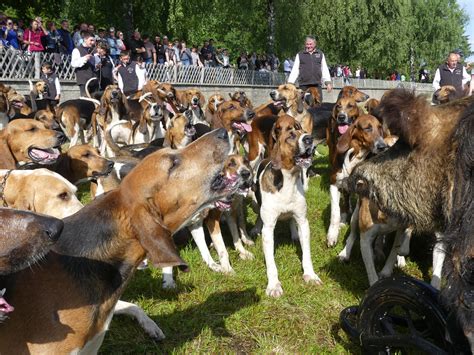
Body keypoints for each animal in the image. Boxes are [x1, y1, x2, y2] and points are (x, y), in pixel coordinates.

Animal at [254, 114, 320, 298]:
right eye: (290, 136)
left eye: (302, 130)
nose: (309, 139)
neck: (289, 179)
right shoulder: (269, 229)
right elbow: (271, 263)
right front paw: (273, 285)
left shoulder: (303, 221)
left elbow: (307, 254)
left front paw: (310, 275)